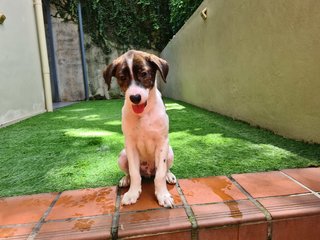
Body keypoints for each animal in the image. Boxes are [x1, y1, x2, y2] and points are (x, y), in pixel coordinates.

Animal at [103, 49, 176, 207]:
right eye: (122, 77)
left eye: (144, 73)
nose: (135, 97)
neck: (144, 113)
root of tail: (148, 172)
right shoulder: (130, 144)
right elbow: (134, 173)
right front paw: (132, 193)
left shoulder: (162, 142)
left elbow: (160, 174)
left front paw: (163, 195)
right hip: (122, 155)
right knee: (131, 172)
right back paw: (126, 179)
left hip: (170, 152)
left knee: (165, 169)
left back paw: (169, 176)